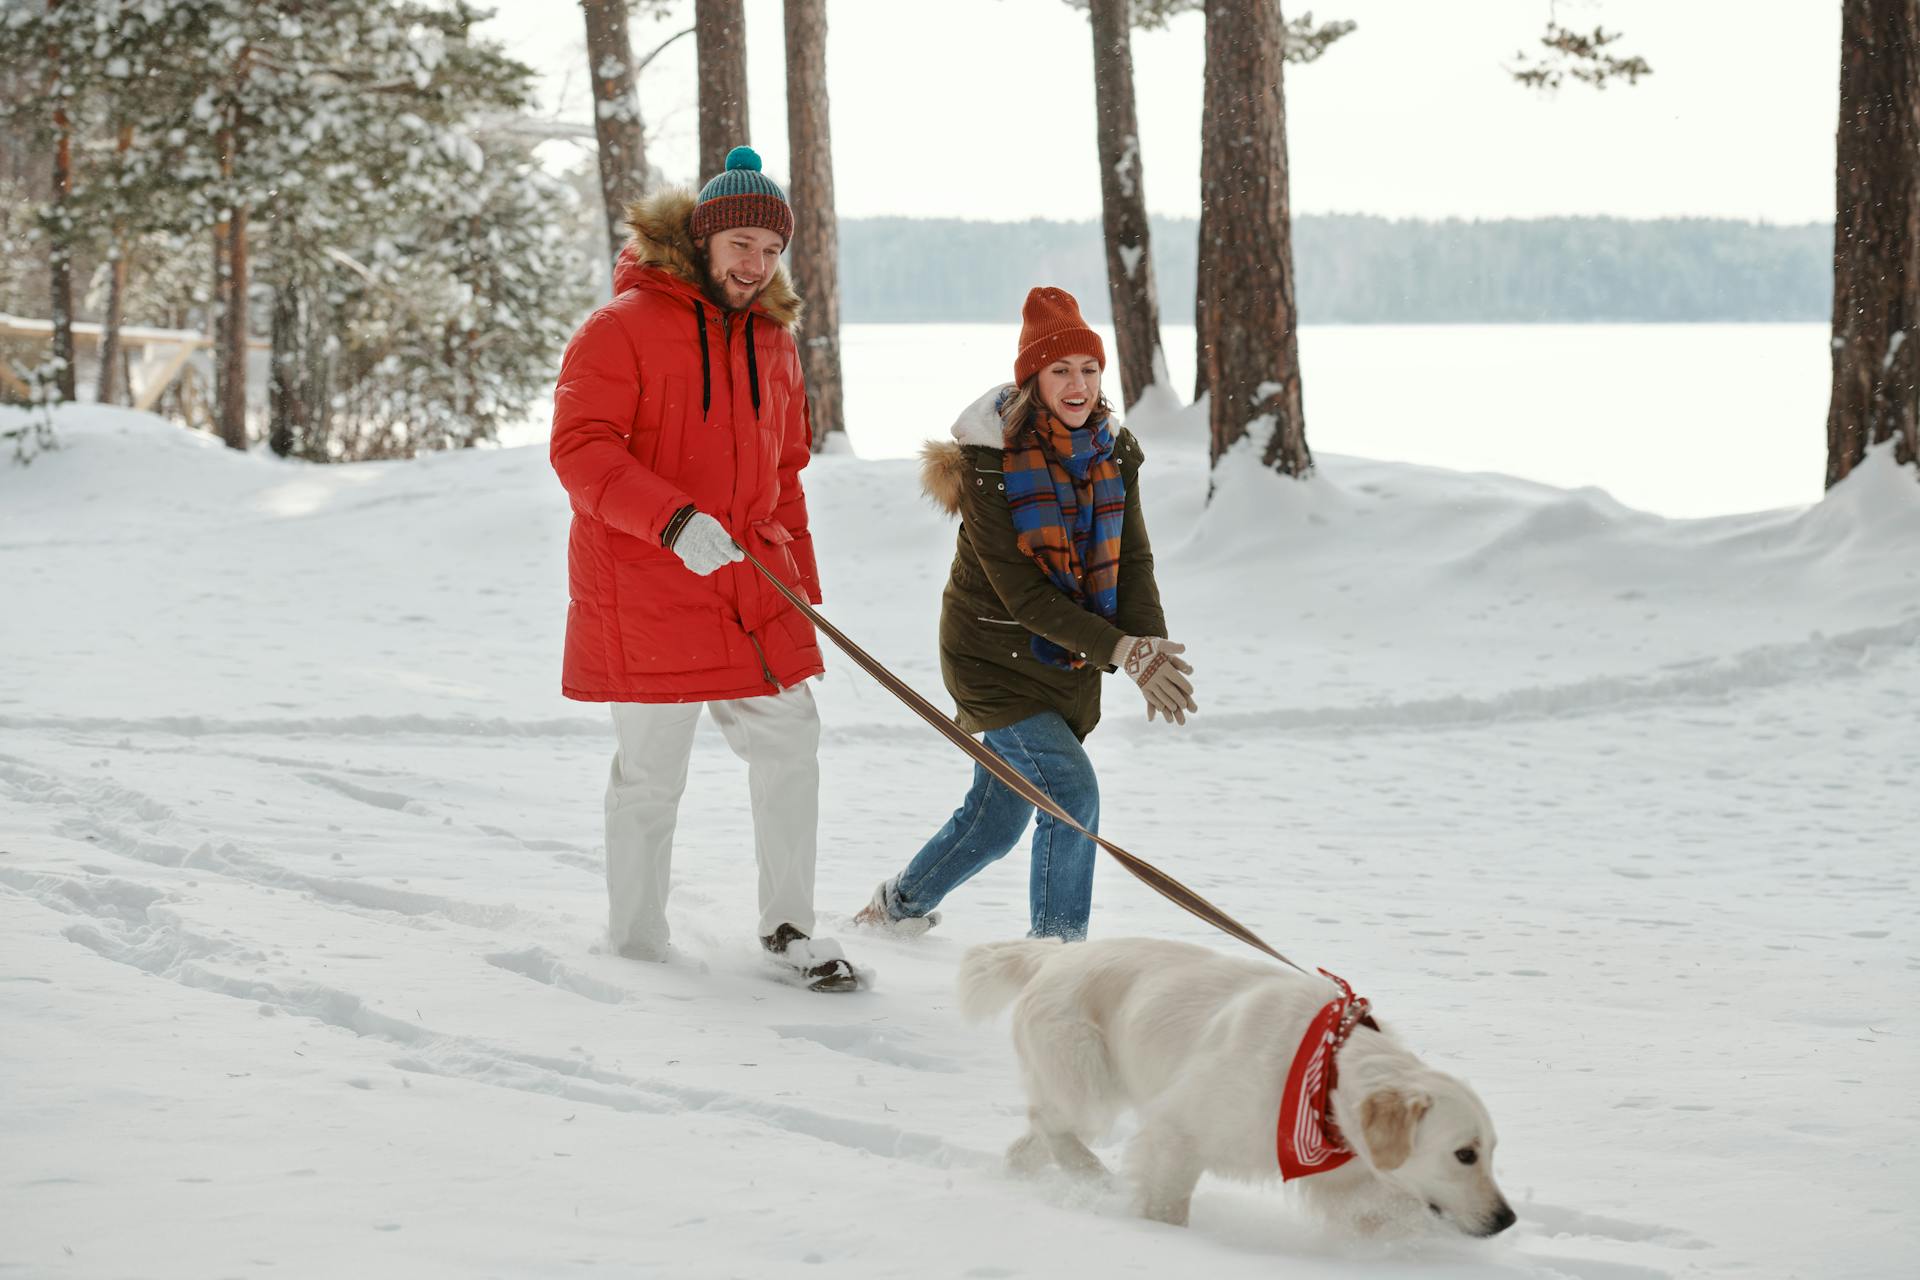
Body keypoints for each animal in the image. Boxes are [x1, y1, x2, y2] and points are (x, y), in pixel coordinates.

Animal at [960, 936, 1512, 1235]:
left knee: (1028, 1140)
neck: (1326, 1074)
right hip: (1087, 1079)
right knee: (1048, 1120)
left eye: (1491, 1152)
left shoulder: (1346, 1176)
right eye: (1465, 1154)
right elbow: (1167, 1205)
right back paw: (1091, 1175)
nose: (1506, 1220)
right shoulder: (1179, 1130)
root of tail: (1054, 954)